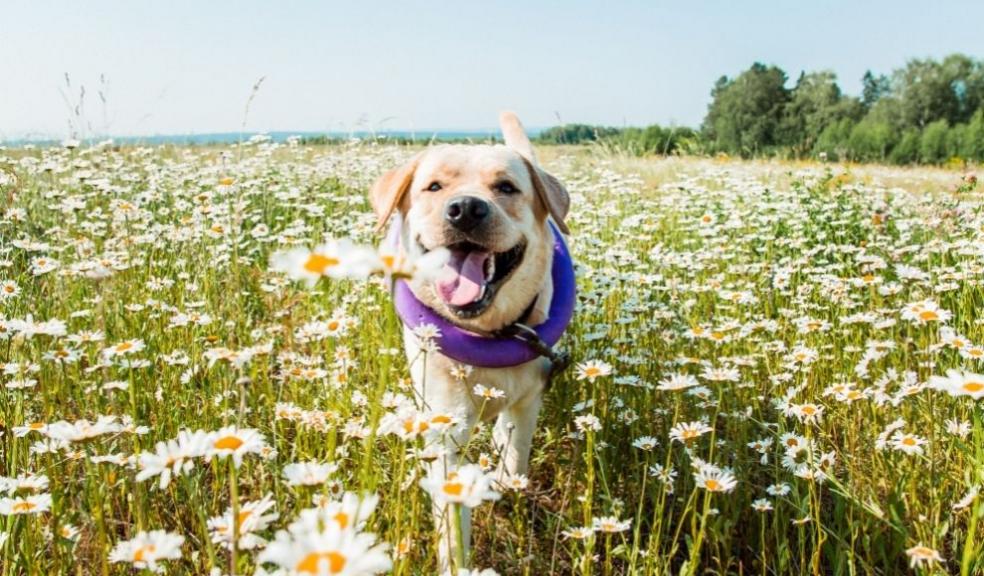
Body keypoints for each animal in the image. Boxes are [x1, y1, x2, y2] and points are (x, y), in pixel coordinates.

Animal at [368, 112, 568, 568]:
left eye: (506, 187)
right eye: (434, 187)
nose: (465, 209)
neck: (491, 331)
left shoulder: (528, 402)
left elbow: (515, 456)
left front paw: (507, 486)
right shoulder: (446, 430)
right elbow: (451, 522)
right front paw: (456, 562)